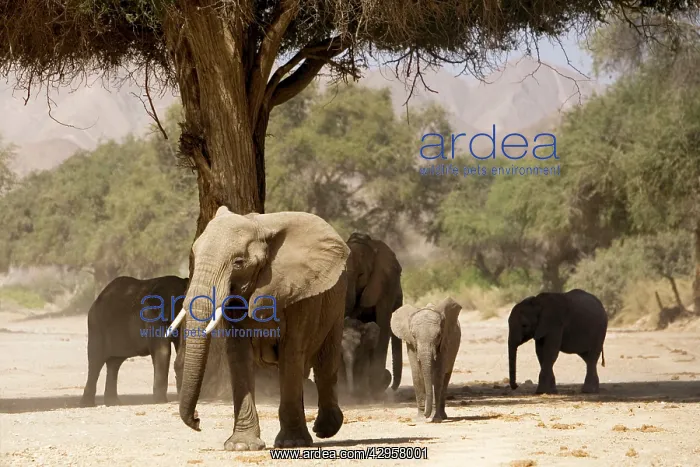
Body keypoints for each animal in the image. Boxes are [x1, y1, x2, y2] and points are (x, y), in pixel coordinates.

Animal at [80, 275, 188, 407]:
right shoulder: (151, 315)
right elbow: (163, 350)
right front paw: (161, 402)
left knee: (114, 363)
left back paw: (113, 403)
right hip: (96, 325)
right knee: (96, 361)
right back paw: (87, 404)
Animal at [174, 206, 350, 451]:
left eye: (238, 262)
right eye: (193, 255)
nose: (198, 420)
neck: (260, 227)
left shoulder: (301, 294)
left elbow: (291, 352)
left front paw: (292, 443)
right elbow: (238, 353)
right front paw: (241, 446)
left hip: (336, 301)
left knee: (325, 361)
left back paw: (325, 430)